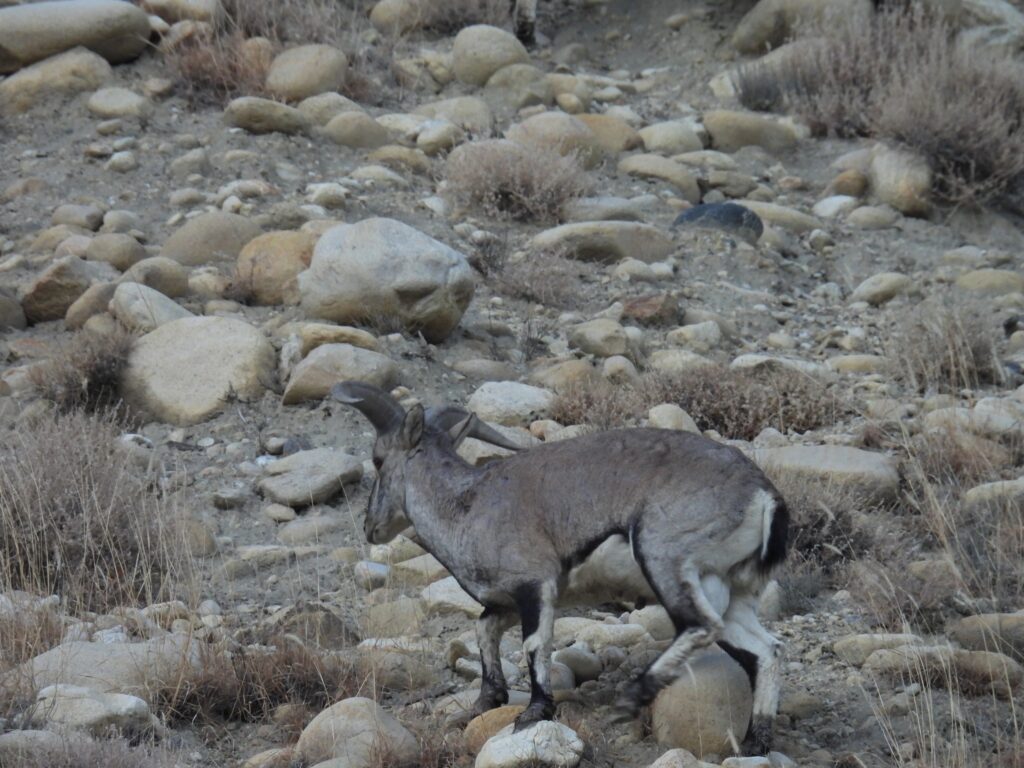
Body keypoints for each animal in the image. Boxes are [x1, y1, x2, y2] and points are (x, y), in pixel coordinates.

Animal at [333, 381, 788, 754]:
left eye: (377, 459)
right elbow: (483, 630)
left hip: (665, 557)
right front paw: (484, 702)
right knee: (764, 649)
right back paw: (757, 738)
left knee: (699, 624)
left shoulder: (535, 586)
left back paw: (631, 699)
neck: (467, 507)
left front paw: (534, 712)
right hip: (728, 590)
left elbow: (536, 645)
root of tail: (764, 496)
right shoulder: (506, 601)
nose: (372, 526)